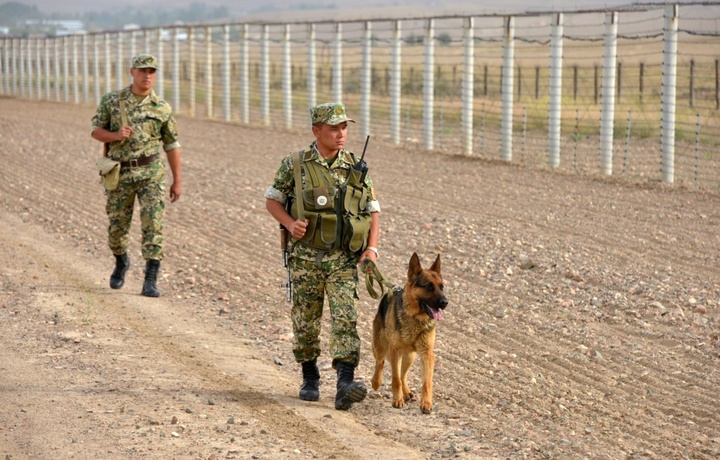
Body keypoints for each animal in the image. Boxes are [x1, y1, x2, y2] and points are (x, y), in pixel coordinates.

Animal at [374, 253, 448, 416]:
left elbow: (426, 382)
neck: (415, 318)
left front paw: (426, 403)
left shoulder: (427, 354)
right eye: (429, 286)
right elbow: (395, 379)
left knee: (403, 374)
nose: (445, 302)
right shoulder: (395, 351)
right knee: (380, 363)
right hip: (381, 346)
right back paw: (376, 382)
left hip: (410, 356)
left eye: (442, 287)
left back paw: (406, 392)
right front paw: (397, 400)